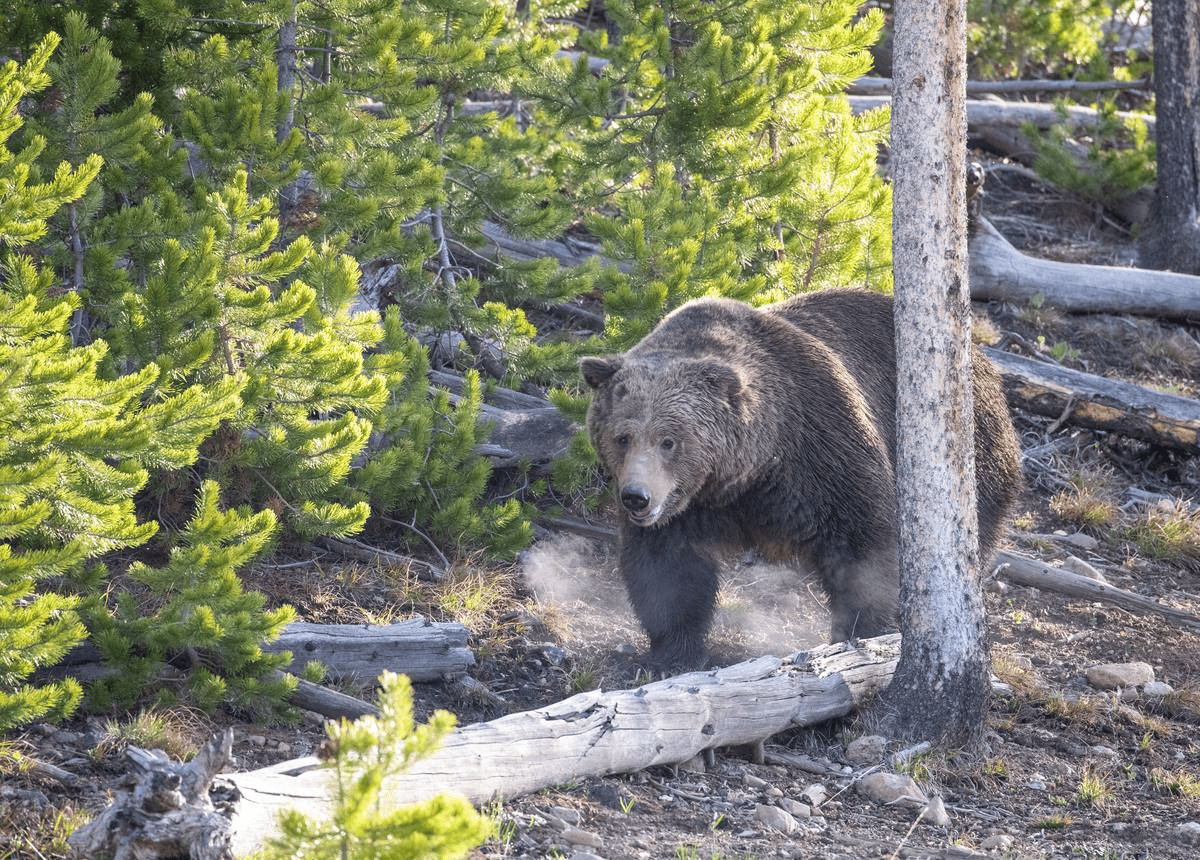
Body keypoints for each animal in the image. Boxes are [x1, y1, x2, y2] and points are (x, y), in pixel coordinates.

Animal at [581, 288, 1023, 669]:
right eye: (622, 437)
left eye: (669, 440)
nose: (636, 497)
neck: (748, 472)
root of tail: (985, 362)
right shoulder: (687, 509)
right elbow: (668, 570)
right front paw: (670, 652)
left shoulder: (820, 449)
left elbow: (865, 544)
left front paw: (863, 632)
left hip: (977, 457)